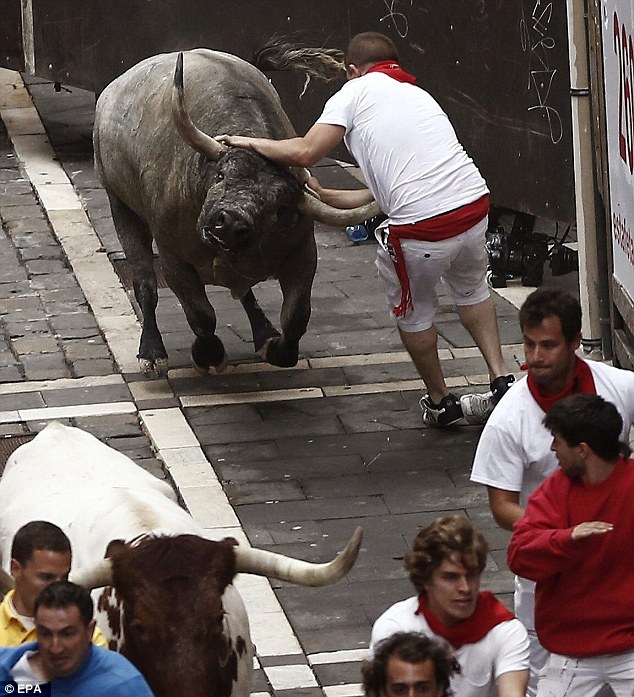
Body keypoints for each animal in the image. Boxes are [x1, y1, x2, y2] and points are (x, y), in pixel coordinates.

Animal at [94, 44, 378, 376]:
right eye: (220, 175)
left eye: (279, 207)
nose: (228, 225)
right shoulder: (173, 258)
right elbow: (201, 314)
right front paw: (209, 354)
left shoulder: (303, 253)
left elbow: (296, 316)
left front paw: (276, 347)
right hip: (120, 205)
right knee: (145, 283)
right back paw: (152, 351)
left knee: (244, 292)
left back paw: (263, 332)